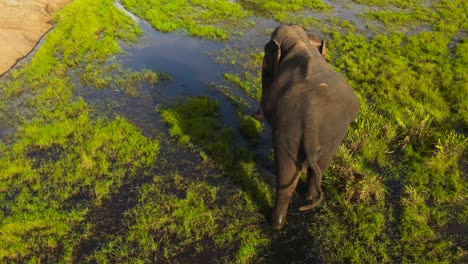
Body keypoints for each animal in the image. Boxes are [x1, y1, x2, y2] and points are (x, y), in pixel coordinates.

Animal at [258, 25, 360, 230]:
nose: (257, 116)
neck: (300, 40)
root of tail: (311, 115)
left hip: (289, 131)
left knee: (286, 176)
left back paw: (275, 224)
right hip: (333, 133)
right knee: (320, 167)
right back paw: (309, 198)